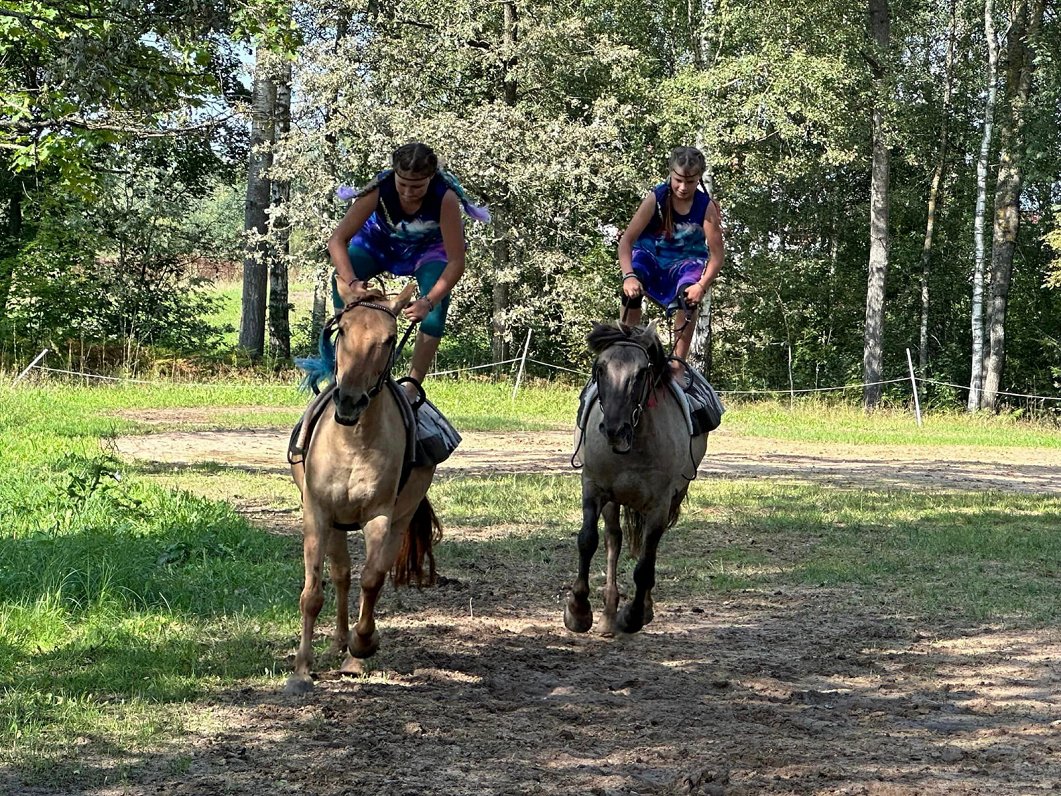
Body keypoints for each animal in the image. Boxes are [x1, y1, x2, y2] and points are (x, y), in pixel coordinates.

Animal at [286, 284, 439, 696]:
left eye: (388, 339)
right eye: (342, 331)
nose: (350, 400)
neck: (353, 440)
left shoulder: (380, 516)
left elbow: (372, 579)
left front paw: (363, 645)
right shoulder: (317, 513)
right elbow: (313, 593)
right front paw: (302, 671)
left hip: (399, 518)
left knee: (372, 573)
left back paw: (351, 651)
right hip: (335, 524)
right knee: (340, 574)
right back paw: (338, 641)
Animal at [568, 320, 708, 641]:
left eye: (642, 372)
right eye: (600, 368)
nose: (614, 429)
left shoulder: (659, 504)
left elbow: (645, 564)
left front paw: (633, 616)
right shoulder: (593, 488)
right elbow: (587, 540)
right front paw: (578, 611)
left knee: (648, 548)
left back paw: (640, 609)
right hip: (613, 500)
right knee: (613, 540)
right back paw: (608, 615)